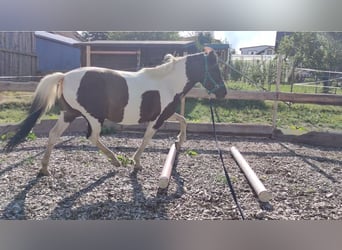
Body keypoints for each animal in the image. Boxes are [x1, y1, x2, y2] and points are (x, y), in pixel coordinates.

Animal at [4, 47, 227, 176]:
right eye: (215, 70)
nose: (223, 93)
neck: (167, 82)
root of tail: (65, 76)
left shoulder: (165, 114)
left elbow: (183, 120)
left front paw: (180, 141)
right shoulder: (158, 119)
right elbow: (147, 139)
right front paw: (136, 163)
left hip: (69, 114)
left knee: (53, 135)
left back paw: (44, 169)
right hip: (93, 117)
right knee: (92, 137)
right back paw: (115, 160)